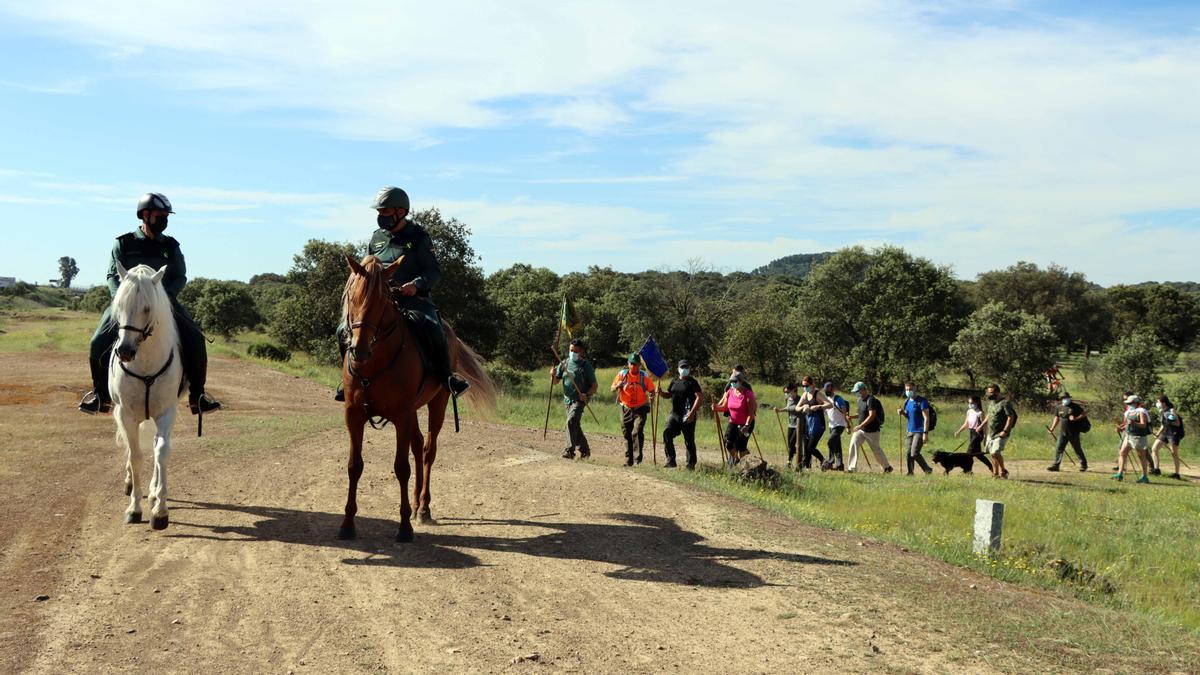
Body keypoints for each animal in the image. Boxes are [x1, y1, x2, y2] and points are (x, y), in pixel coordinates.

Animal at [108, 260, 183, 528]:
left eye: (148, 308)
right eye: (119, 306)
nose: (125, 351)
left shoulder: (167, 412)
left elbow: (162, 452)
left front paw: (160, 510)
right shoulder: (126, 414)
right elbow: (135, 457)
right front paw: (134, 509)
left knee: (156, 446)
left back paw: (152, 492)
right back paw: (131, 485)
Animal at [338, 253, 492, 540]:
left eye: (383, 300)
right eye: (352, 297)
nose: (359, 350)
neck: (374, 364)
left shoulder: (401, 415)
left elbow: (401, 467)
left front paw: (404, 529)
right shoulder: (354, 415)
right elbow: (355, 466)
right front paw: (347, 524)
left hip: (437, 403)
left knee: (429, 450)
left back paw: (422, 508)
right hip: (413, 412)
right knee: (418, 445)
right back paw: (415, 504)